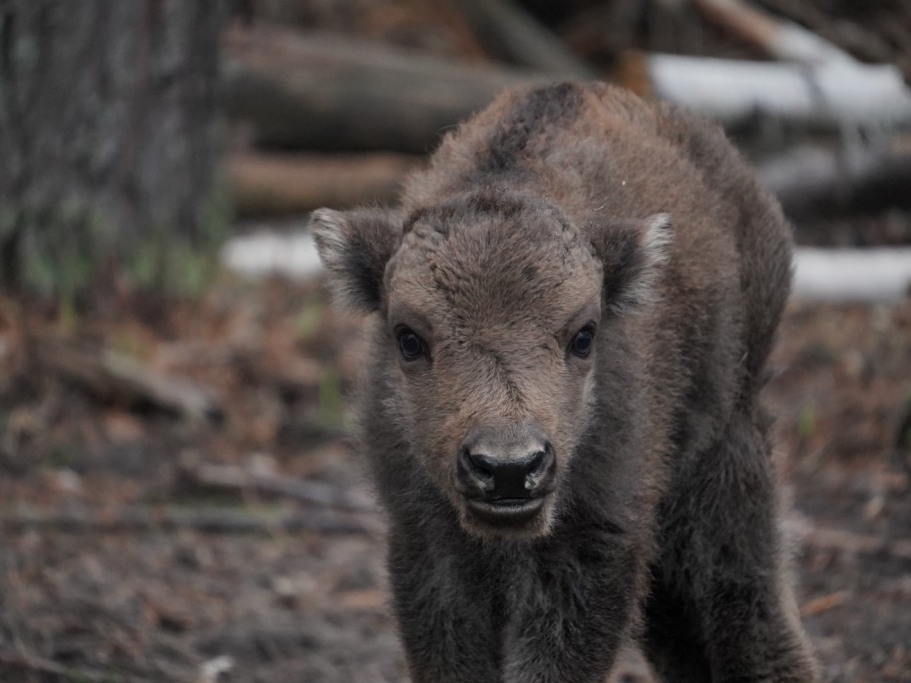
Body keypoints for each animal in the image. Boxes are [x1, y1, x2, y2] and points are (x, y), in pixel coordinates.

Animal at [314, 84, 820, 683]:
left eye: (584, 335)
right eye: (408, 338)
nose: (509, 469)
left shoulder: (595, 538)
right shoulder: (425, 540)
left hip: (727, 449)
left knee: (744, 597)